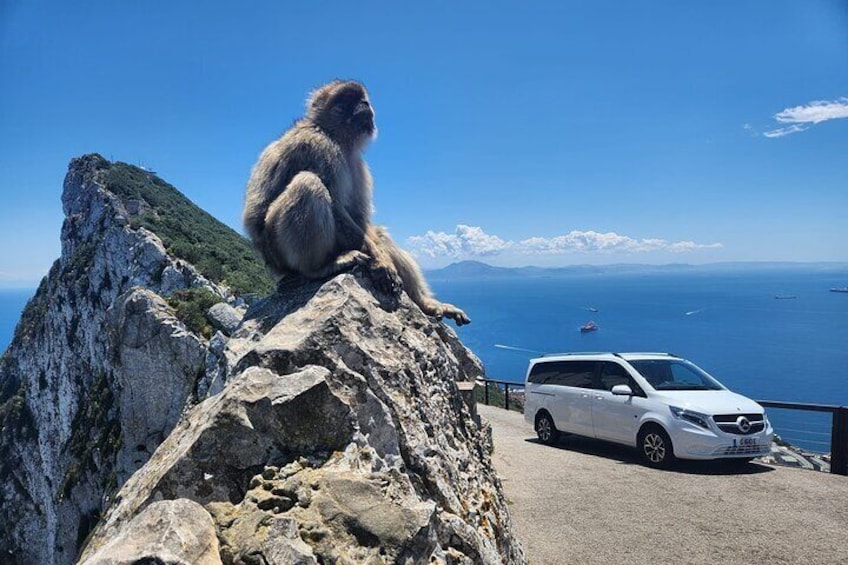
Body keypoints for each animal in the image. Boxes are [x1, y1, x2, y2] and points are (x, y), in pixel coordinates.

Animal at [243, 80, 470, 326]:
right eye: (348, 98)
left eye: (363, 98)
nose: (364, 104)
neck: (337, 136)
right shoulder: (318, 147)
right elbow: (337, 207)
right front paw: (382, 264)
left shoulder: (357, 163)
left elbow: (360, 217)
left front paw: (384, 260)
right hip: (279, 252)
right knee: (308, 183)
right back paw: (318, 268)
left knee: (379, 233)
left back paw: (426, 303)